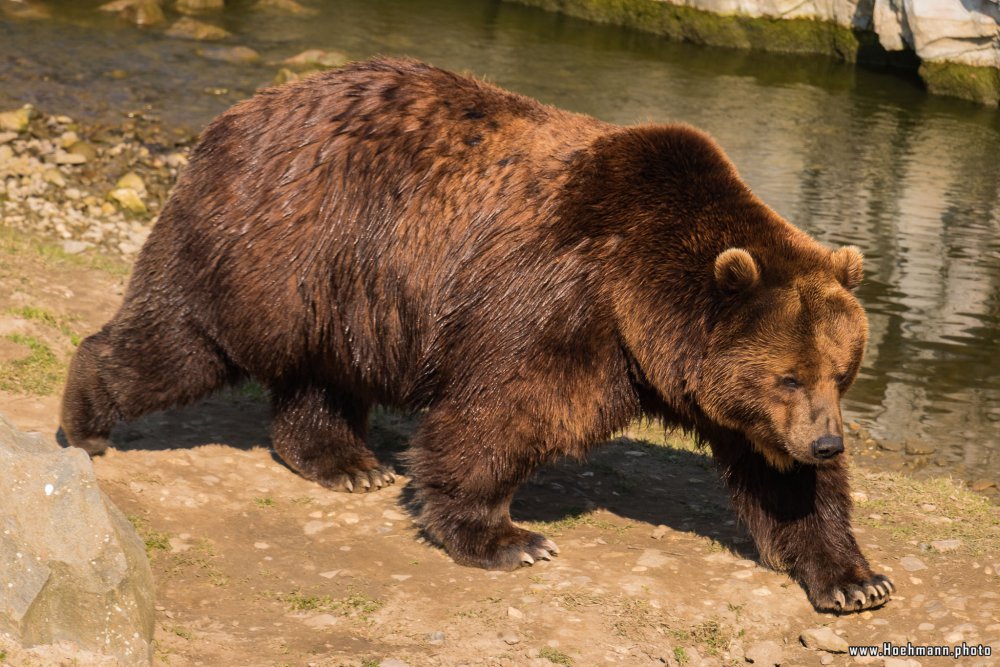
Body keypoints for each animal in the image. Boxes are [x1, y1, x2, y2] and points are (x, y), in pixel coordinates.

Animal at [60, 56, 892, 612]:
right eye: (787, 374)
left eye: (840, 373)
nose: (828, 441)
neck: (642, 301)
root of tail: (238, 112)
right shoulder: (559, 301)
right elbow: (500, 414)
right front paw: (509, 539)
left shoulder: (723, 395)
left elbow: (783, 485)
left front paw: (856, 578)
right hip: (277, 241)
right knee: (183, 340)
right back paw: (87, 415)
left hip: (344, 288)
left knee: (317, 377)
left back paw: (343, 461)